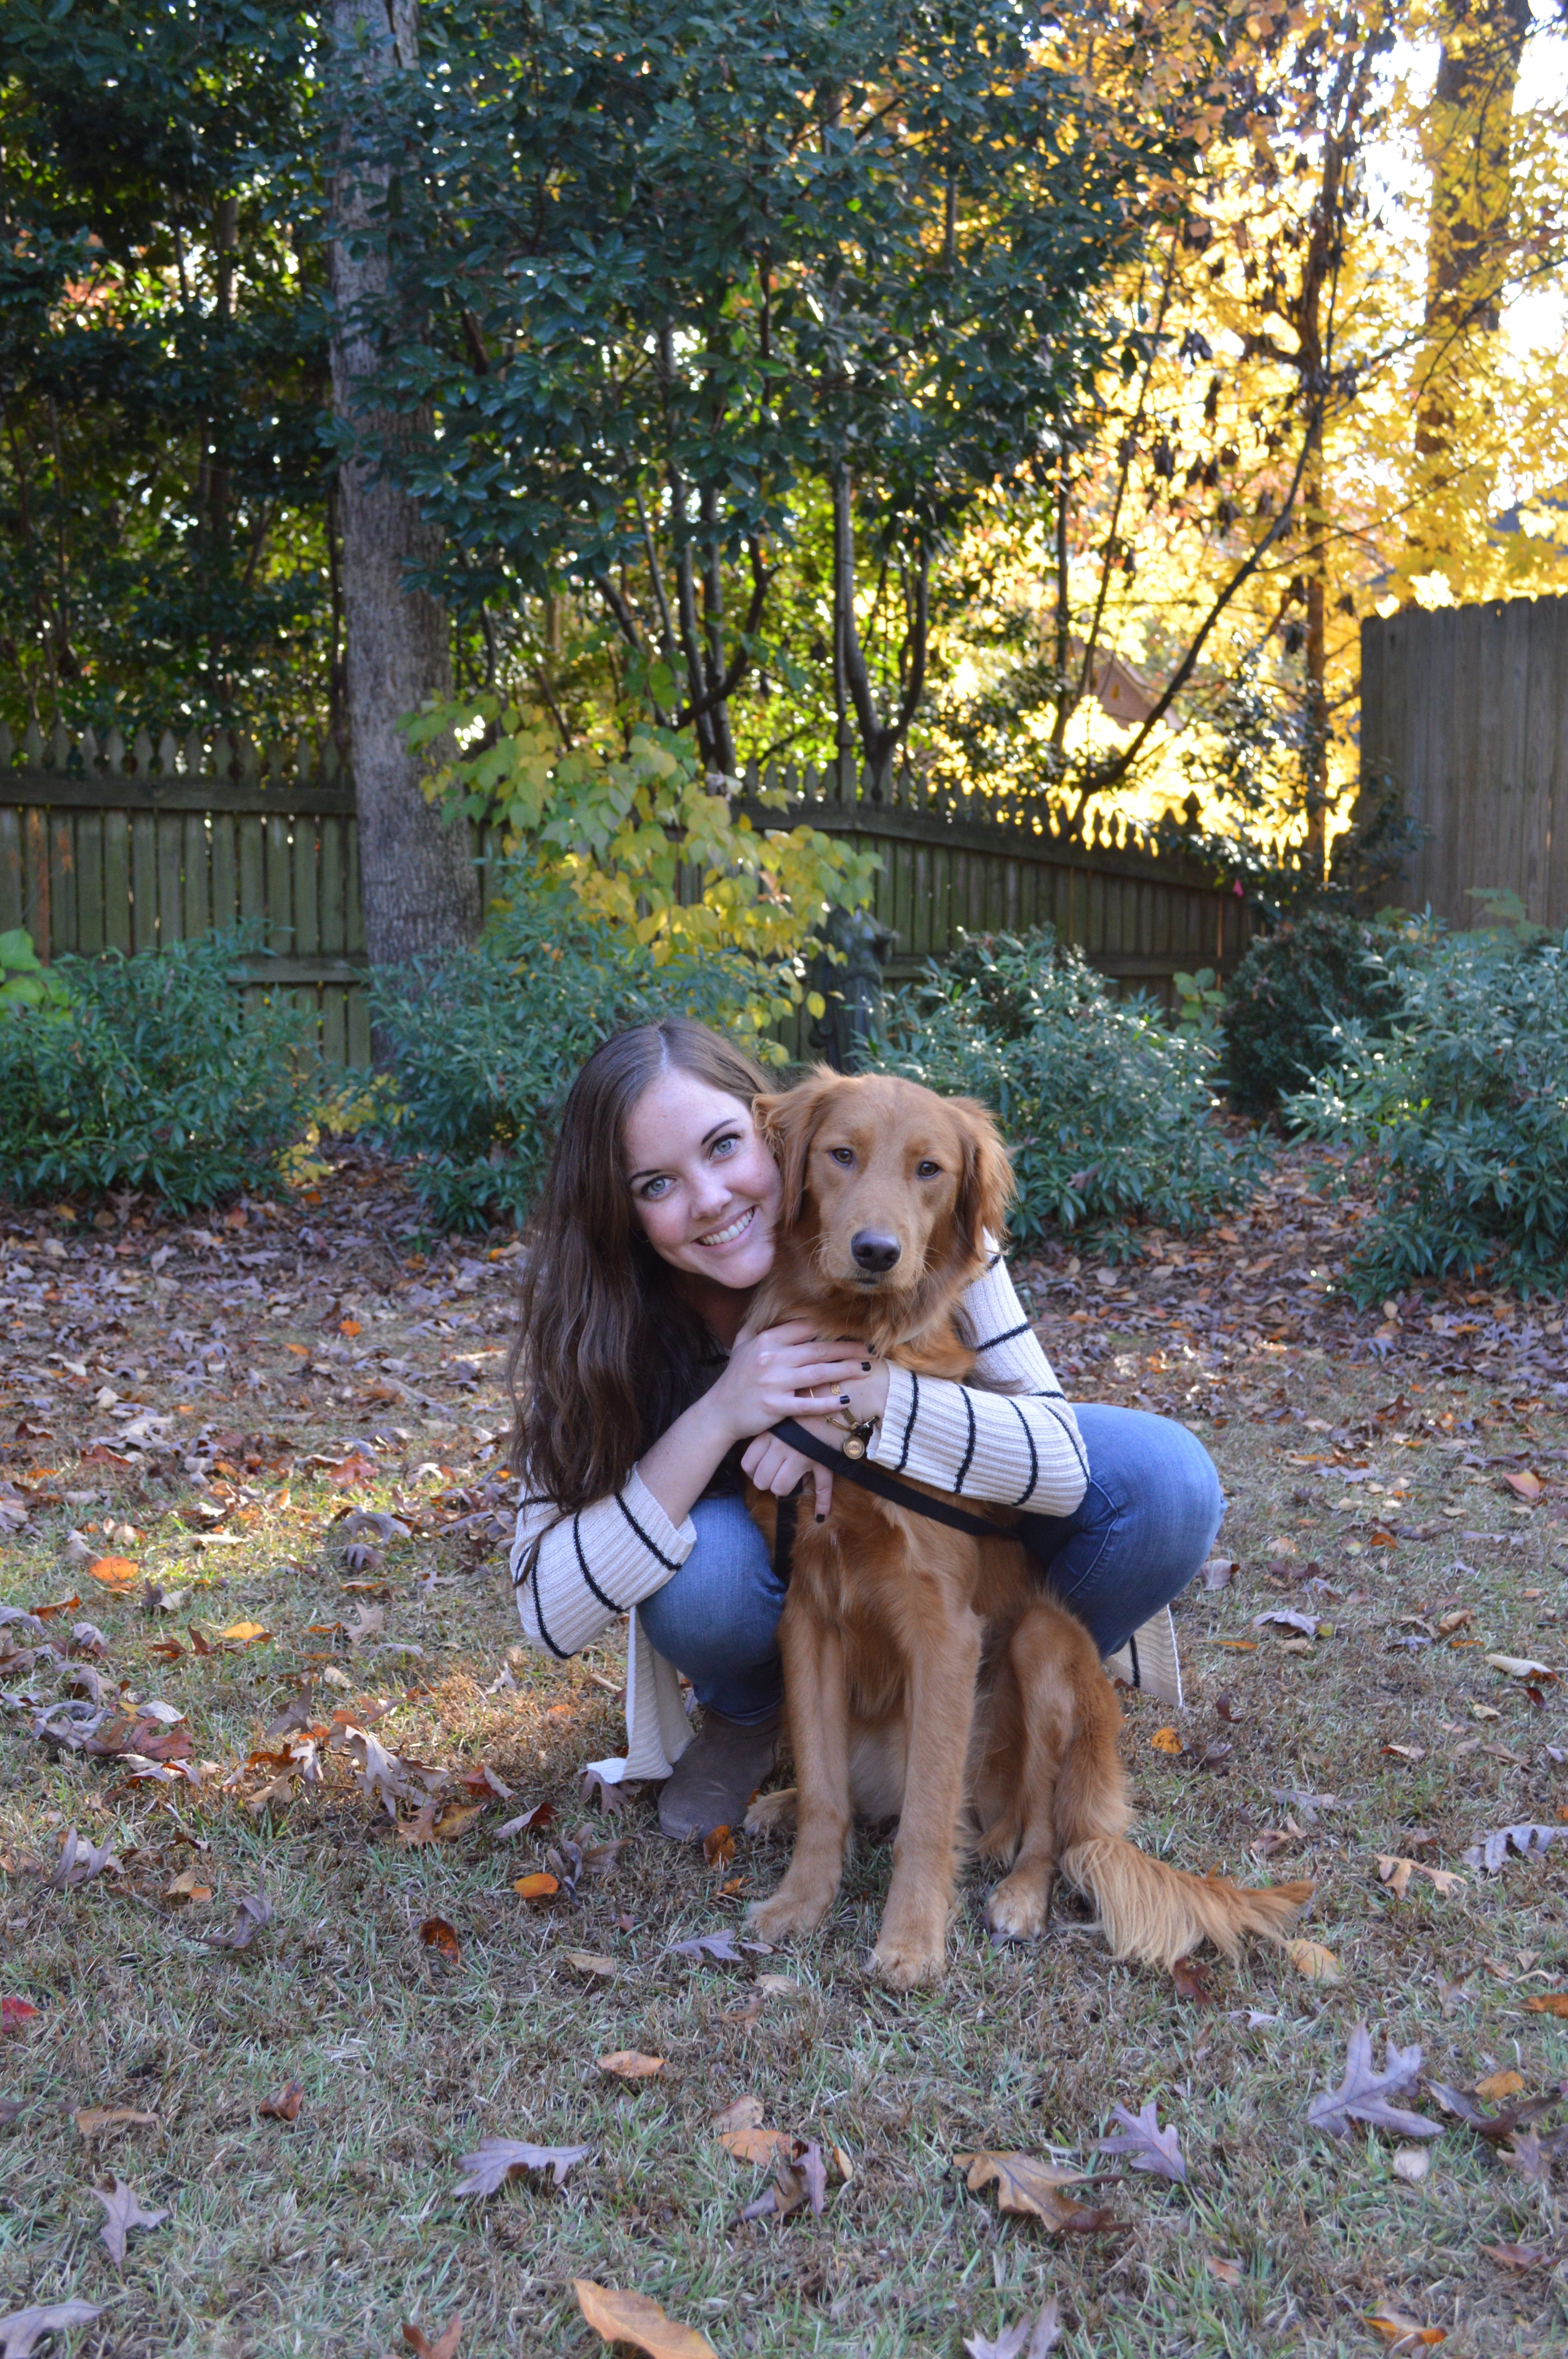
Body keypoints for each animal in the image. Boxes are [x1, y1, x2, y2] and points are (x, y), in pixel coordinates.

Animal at [740, 1076, 1301, 1991]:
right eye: (841, 1154)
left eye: (928, 1169)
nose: (875, 1250)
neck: (858, 1338)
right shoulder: (805, 1610)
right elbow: (826, 1791)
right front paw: (800, 1900)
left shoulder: (944, 1626)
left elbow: (930, 1810)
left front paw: (911, 1940)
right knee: (854, 1795)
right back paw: (780, 1804)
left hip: (1041, 1646)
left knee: (1039, 1829)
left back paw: (1019, 1897)